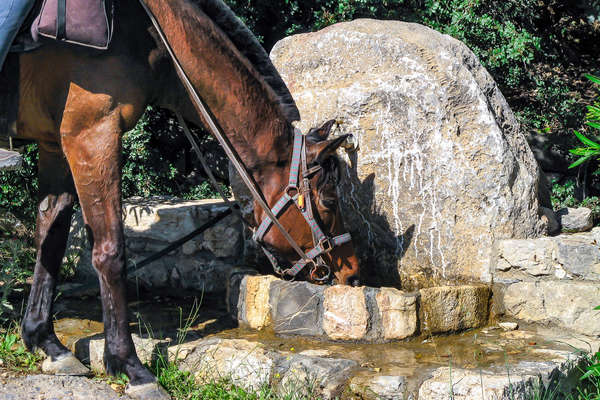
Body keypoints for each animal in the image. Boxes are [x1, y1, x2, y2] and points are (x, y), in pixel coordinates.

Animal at [10, 0, 360, 396]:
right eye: (329, 201)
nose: (353, 272)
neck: (151, 33)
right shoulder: (92, 135)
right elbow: (110, 252)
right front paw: (130, 366)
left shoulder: (57, 143)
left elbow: (50, 241)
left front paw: (46, 342)